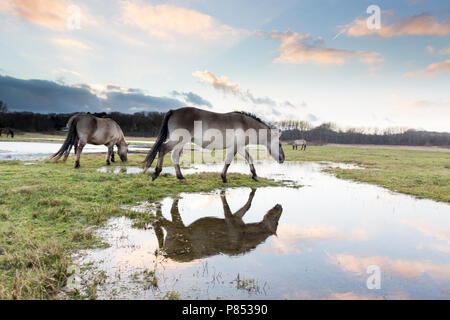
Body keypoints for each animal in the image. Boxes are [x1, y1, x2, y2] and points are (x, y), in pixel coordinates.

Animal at [144, 107, 284, 182]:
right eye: (280, 145)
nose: (283, 159)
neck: (245, 124)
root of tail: (174, 111)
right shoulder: (236, 147)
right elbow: (230, 161)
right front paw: (225, 178)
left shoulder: (238, 147)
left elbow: (247, 158)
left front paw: (254, 175)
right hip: (178, 140)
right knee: (163, 150)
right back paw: (156, 173)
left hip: (180, 142)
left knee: (173, 155)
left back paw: (180, 176)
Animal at [153, 189, 284, 262]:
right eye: (277, 221)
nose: (280, 206)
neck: (243, 235)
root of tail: (166, 254)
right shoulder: (231, 218)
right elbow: (231, 205)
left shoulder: (236, 217)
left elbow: (247, 206)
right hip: (174, 229)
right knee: (162, 219)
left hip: (177, 227)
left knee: (170, 213)